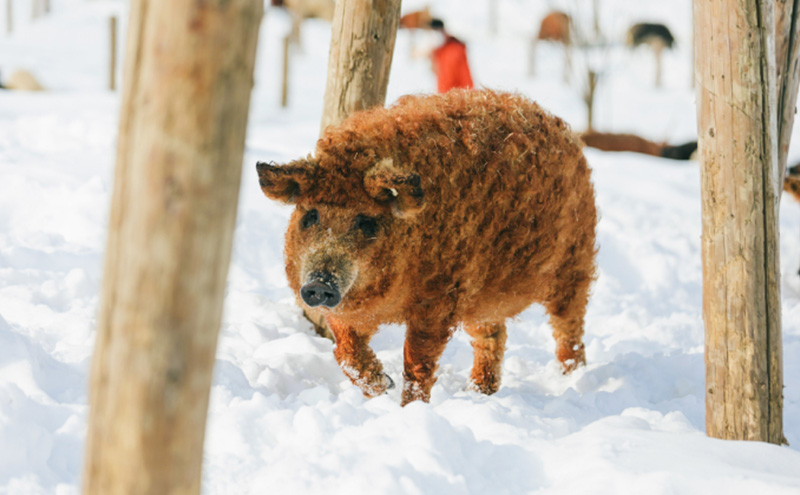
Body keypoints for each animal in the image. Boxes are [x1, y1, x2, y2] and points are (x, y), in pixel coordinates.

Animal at [255, 90, 592, 406]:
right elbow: (346, 352)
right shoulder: (344, 309)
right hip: (482, 296)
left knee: (569, 327)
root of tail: (565, 130)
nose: (320, 284)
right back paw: (478, 392)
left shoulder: (439, 296)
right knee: (493, 334)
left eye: (366, 221)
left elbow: (418, 360)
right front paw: (383, 387)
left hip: (574, 262)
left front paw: (410, 407)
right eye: (311, 215)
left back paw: (574, 380)